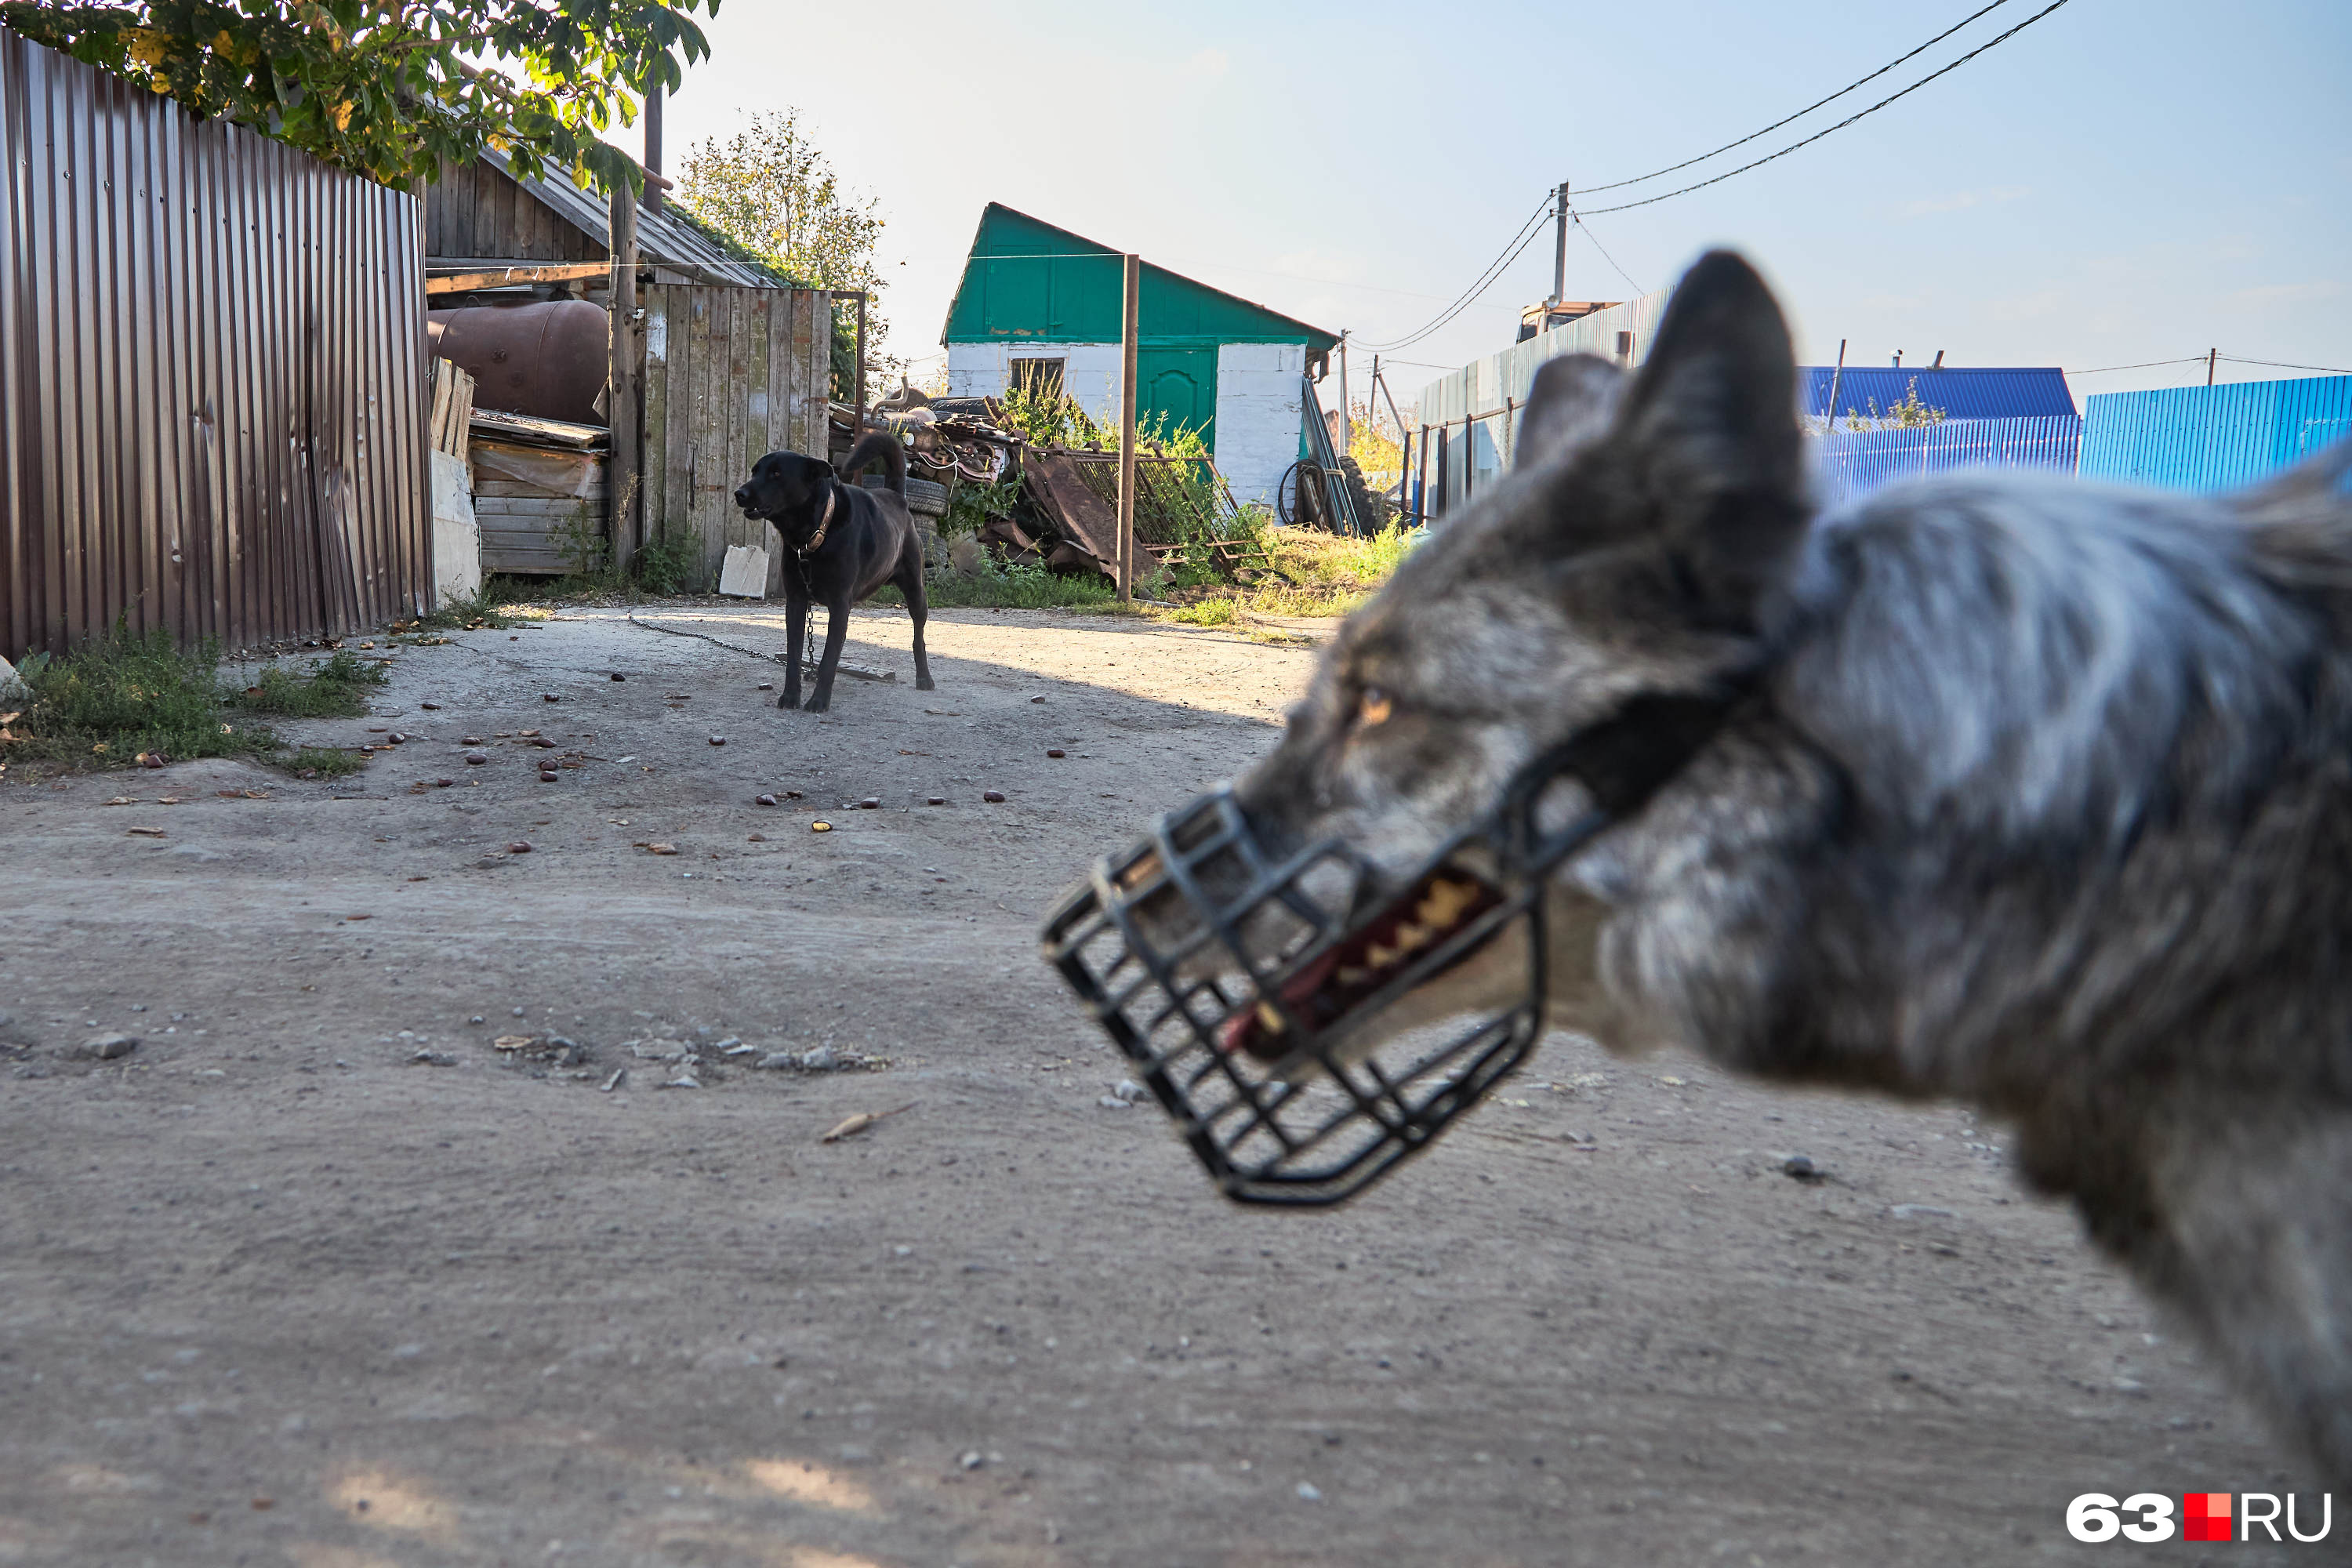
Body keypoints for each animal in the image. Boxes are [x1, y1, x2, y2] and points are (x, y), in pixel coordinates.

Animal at [729, 434, 931, 719]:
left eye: (777, 474)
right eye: (754, 471)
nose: (740, 493)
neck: (813, 535)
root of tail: (896, 497)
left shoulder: (839, 605)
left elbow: (828, 660)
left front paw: (818, 701)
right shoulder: (796, 602)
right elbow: (794, 655)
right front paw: (791, 696)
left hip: (916, 591)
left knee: (918, 636)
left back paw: (925, 678)